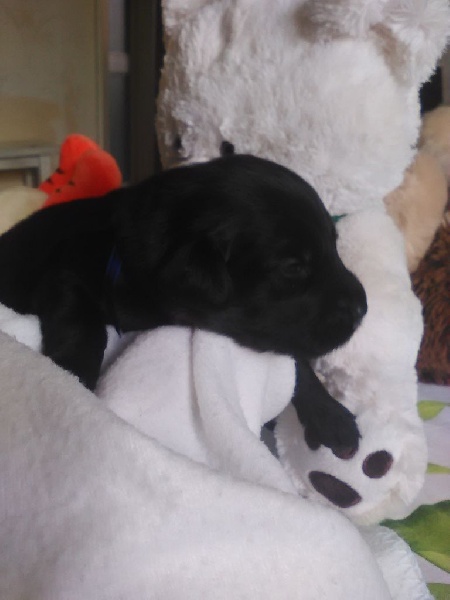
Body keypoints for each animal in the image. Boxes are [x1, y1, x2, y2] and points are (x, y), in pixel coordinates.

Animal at [0, 154, 367, 456]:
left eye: (334, 246)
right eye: (293, 267)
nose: (363, 308)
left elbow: (296, 357)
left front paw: (330, 415)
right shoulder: (65, 272)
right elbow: (82, 327)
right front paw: (72, 378)